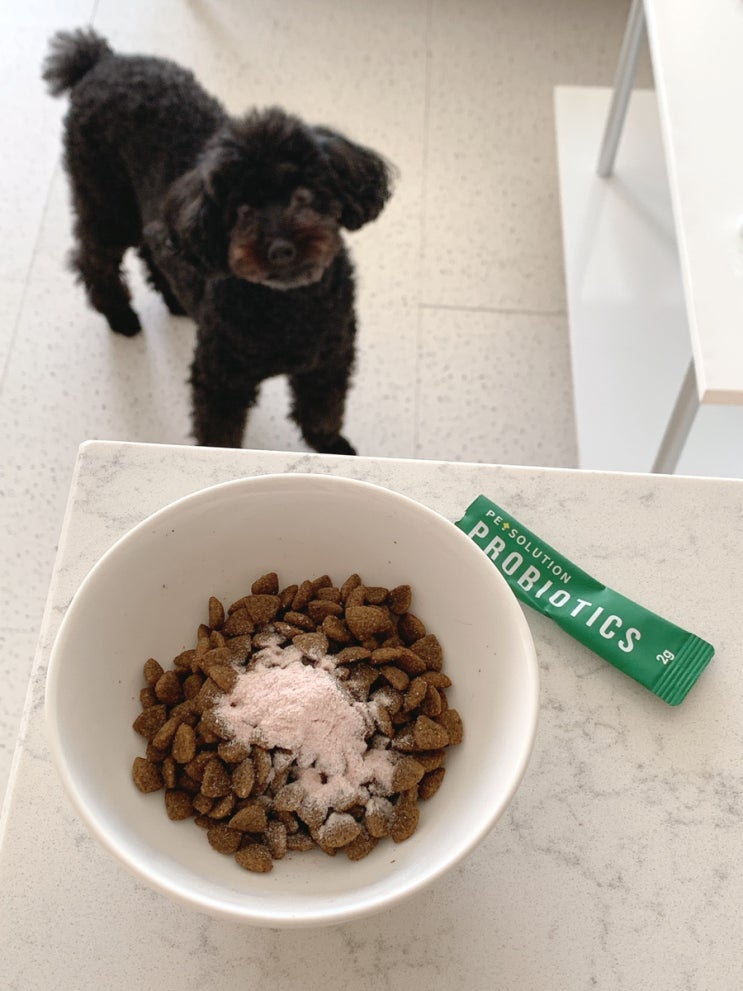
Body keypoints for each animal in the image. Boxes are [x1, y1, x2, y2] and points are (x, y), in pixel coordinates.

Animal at [43, 28, 392, 453]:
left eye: (304, 195)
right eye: (241, 210)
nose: (281, 250)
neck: (288, 307)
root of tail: (101, 60)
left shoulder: (328, 360)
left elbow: (323, 409)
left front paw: (331, 445)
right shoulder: (220, 379)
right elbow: (219, 433)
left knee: (151, 245)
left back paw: (175, 300)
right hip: (106, 200)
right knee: (94, 257)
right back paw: (119, 315)